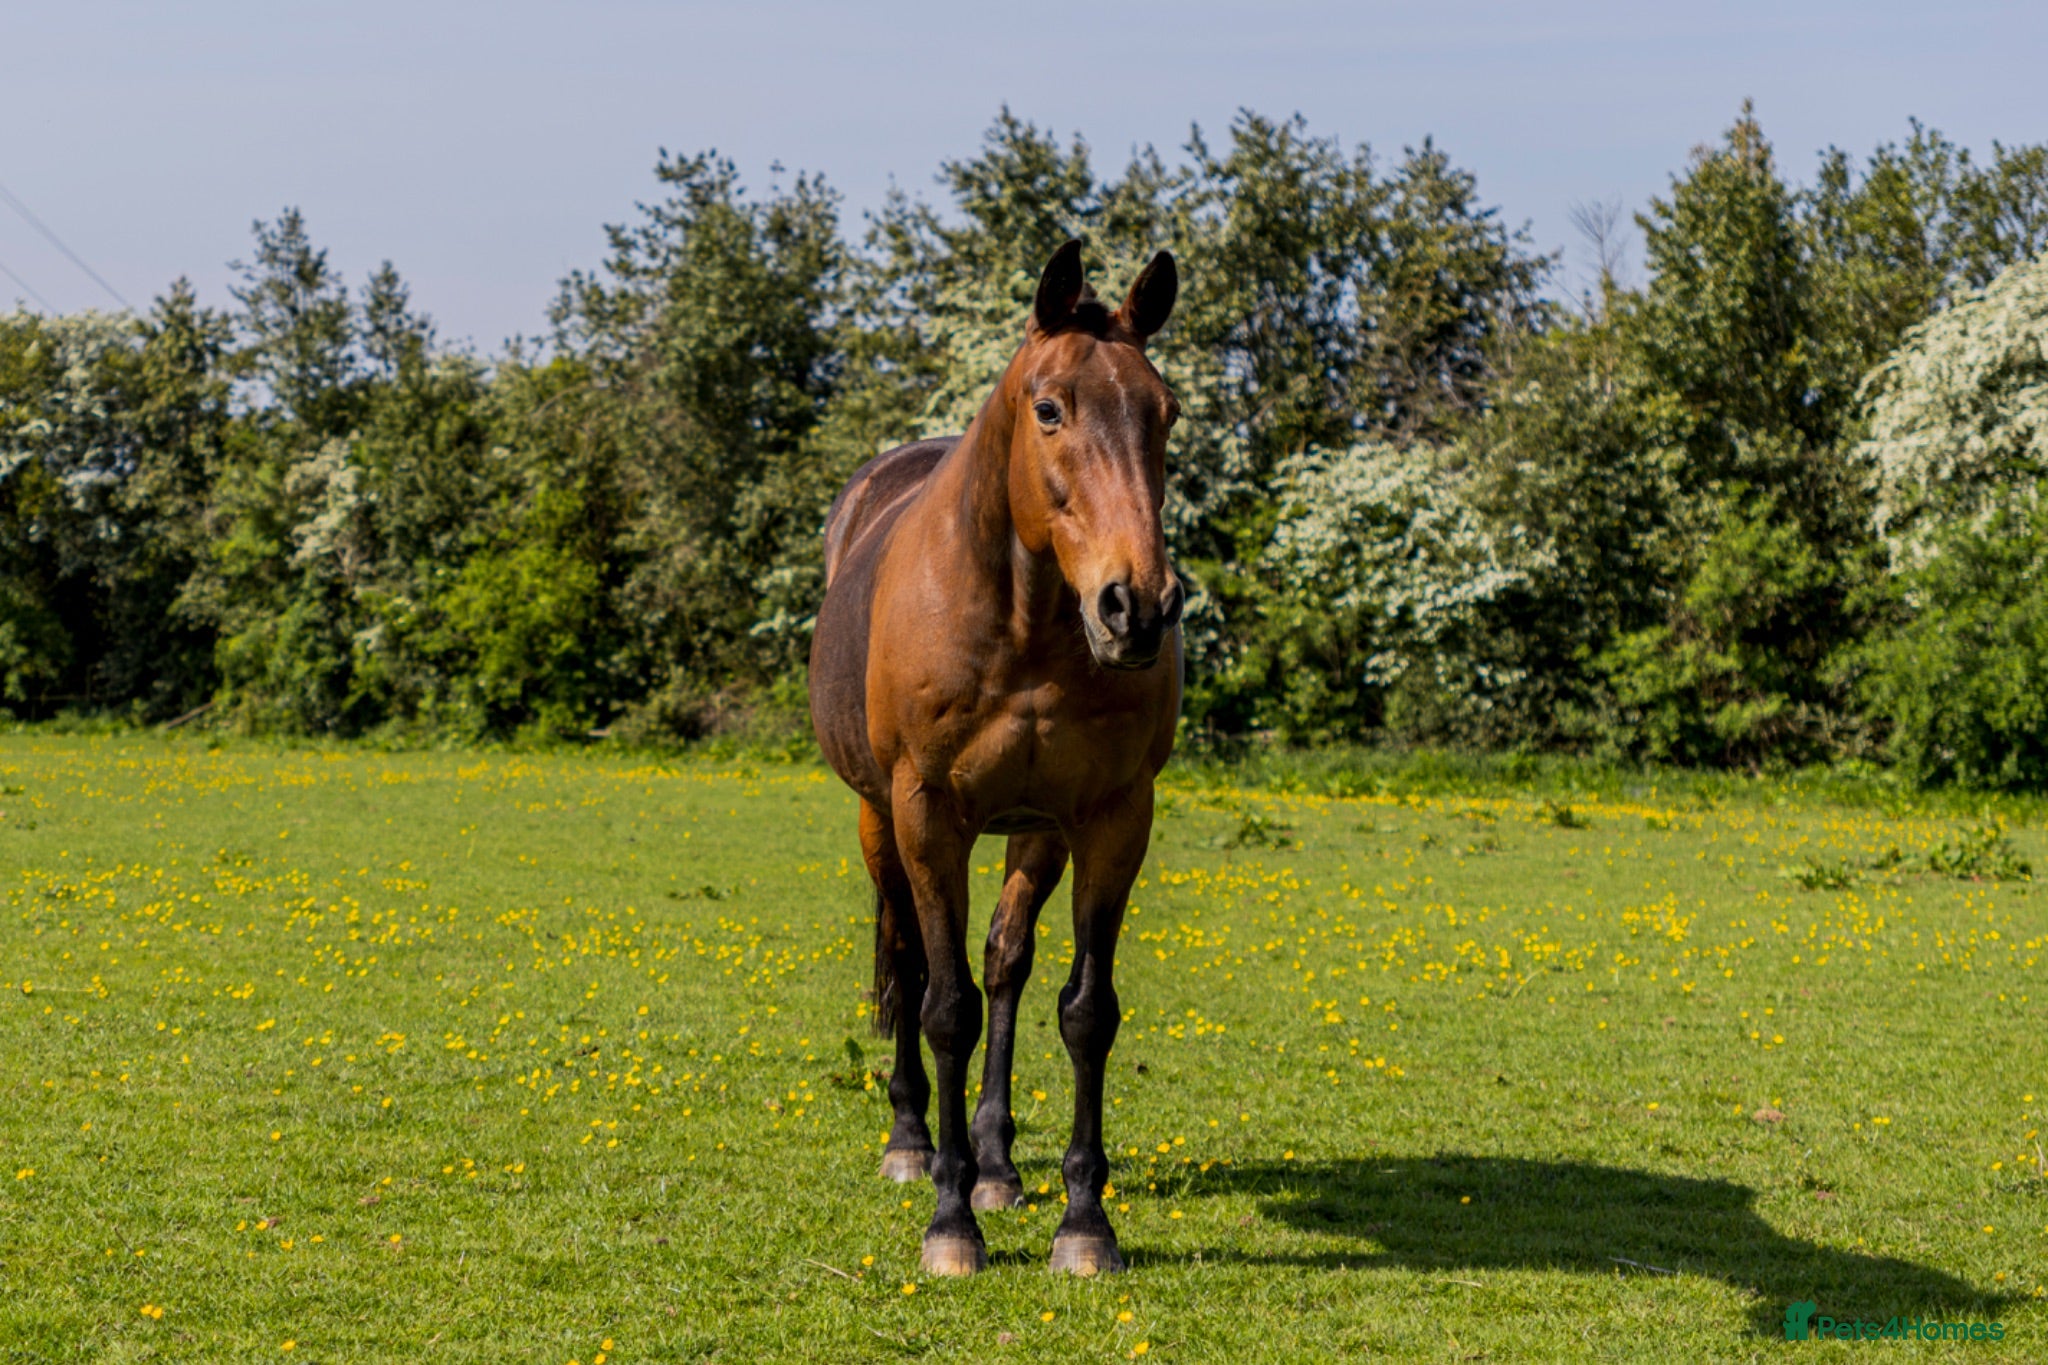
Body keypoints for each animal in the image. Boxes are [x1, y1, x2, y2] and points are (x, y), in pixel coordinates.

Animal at [808, 240, 1184, 1277]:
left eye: (1165, 411)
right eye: (1049, 408)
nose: (1137, 605)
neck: (1024, 620)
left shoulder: (1110, 817)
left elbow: (1084, 1010)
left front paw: (1083, 1222)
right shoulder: (927, 812)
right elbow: (945, 1007)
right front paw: (949, 1223)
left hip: (1032, 832)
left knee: (1007, 961)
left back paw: (996, 1163)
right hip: (878, 819)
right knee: (905, 956)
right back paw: (913, 1144)